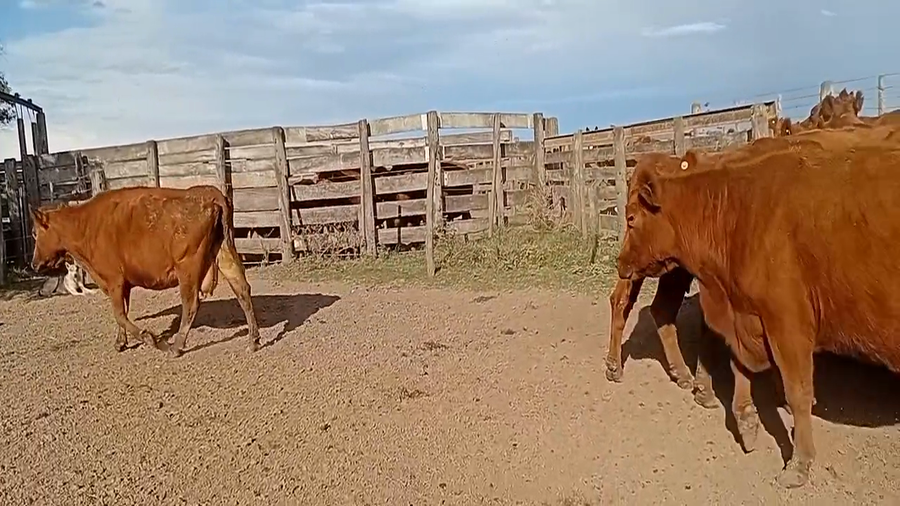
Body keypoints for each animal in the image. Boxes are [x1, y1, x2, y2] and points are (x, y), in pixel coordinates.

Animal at [30, 185, 261, 358]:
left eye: (34, 232)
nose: (34, 264)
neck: (84, 225)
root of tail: (210, 193)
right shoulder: (123, 284)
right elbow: (123, 312)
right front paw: (120, 342)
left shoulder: (114, 280)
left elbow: (119, 314)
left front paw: (150, 338)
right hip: (224, 254)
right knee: (242, 289)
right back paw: (254, 340)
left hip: (188, 268)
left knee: (191, 304)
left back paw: (176, 346)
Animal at [615, 133, 900, 488]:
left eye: (631, 219)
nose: (620, 262)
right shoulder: (747, 313)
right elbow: (740, 366)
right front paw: (747, 420)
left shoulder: (787, 323)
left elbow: (798, 390)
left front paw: (799, 463)